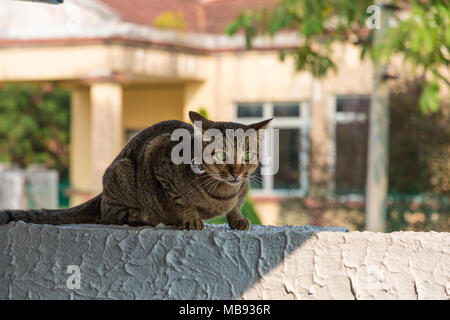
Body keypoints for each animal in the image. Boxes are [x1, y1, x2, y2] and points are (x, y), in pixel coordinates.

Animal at [0, 112, 270, 230]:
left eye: (247, 156)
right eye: (222, 155)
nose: (236, 173)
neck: (222, 193)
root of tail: (101, 194)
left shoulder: (241, 191)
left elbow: (236, 206)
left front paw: (237, 219)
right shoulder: (158, 159)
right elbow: (183, 201)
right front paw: (191, 218)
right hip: (122, 170)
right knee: (109, 215)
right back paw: (143, 217)